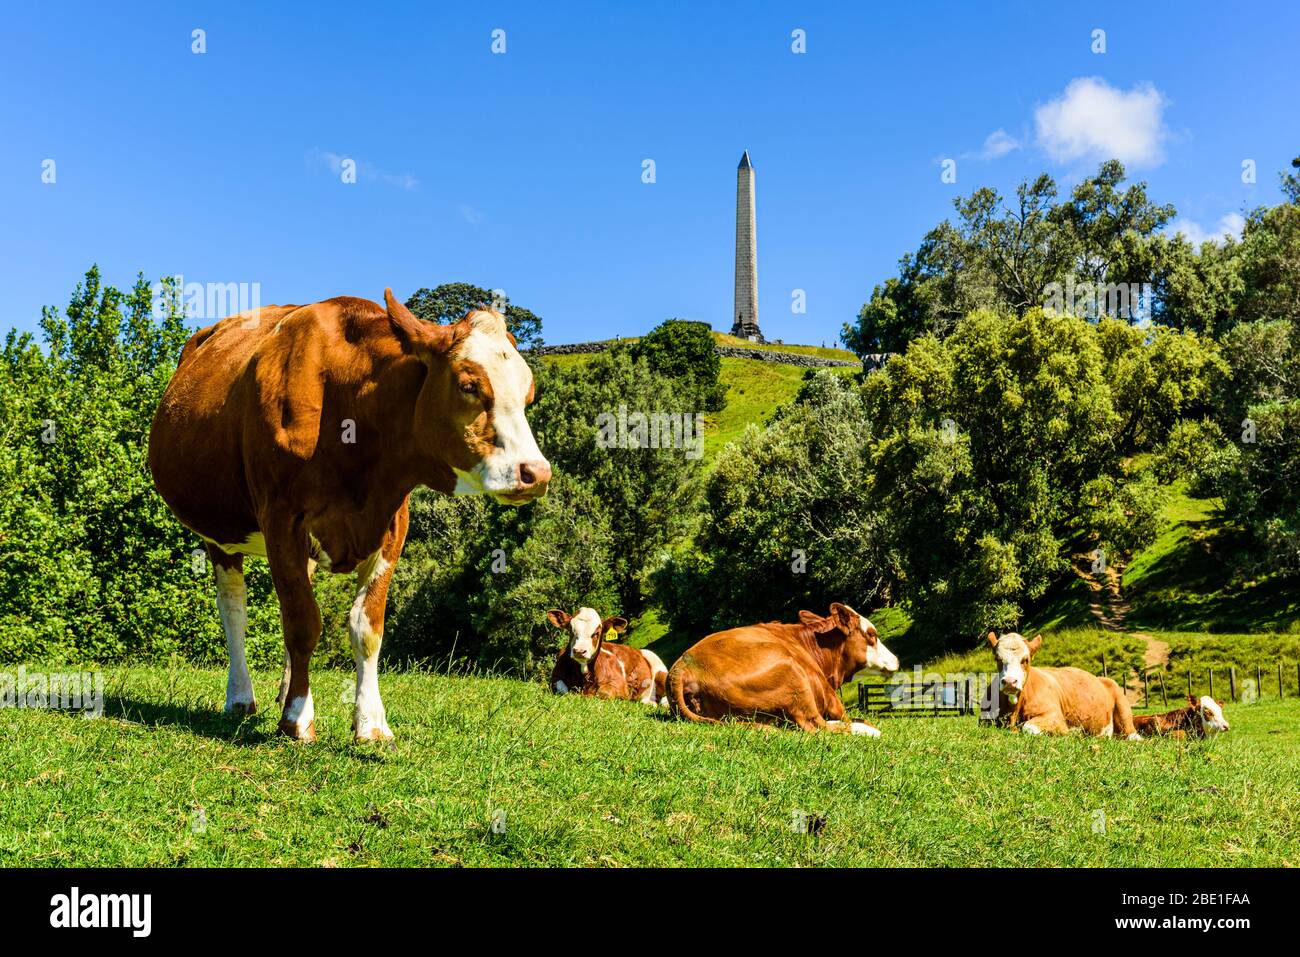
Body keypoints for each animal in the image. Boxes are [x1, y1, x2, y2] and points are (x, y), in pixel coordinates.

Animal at [149, 289, 551, 738]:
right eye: (468, 385)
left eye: (528, 395)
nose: (536, 473)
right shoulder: (281, 518)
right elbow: (303, 623)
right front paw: (298, 718)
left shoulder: (392, 524)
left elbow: (366, 628)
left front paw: (371, 723)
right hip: (220, 532)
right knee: (234, 608)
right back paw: (240, 698)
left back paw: (283, 690)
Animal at [670, 600, 894, 738]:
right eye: (872, 634)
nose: (895, 660)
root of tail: (683, 666)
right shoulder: (832, 700)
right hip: (793, 677)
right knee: (816, 726)